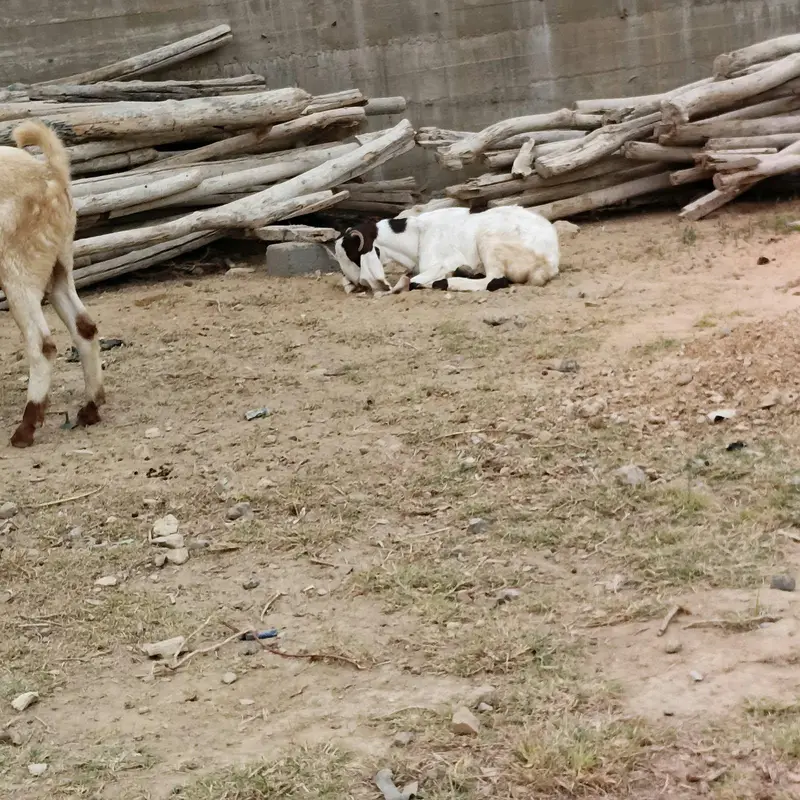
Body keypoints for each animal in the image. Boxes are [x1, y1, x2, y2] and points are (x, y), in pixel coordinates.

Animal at [0, 120, 104, 447]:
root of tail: (51, 172)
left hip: (17, 270)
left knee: (41, 343)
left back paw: (25, 429)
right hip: (59, 265)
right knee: (84, 325)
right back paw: (90, 409)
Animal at [333, 205, 560, 295]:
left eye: (351, 254)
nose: (356, 283)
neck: (417, 235)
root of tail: (549, 262)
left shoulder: (444, 262)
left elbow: (411, 281)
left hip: (489, 242)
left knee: (495, 280)